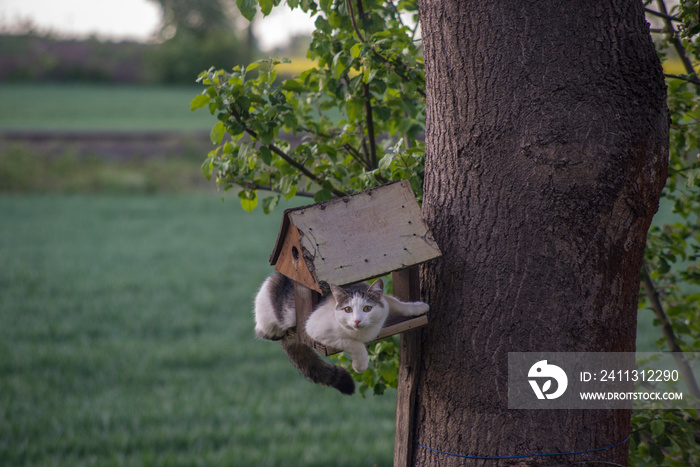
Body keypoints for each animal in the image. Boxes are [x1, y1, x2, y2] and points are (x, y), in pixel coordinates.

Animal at [254, 272, 430, 396]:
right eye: (348, 309)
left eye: (367, 308)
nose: (357, 320)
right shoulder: (315, 330)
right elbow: (353, 343)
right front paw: (360, 365)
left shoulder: (383, 303)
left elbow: (395, 302)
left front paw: (419, 307)